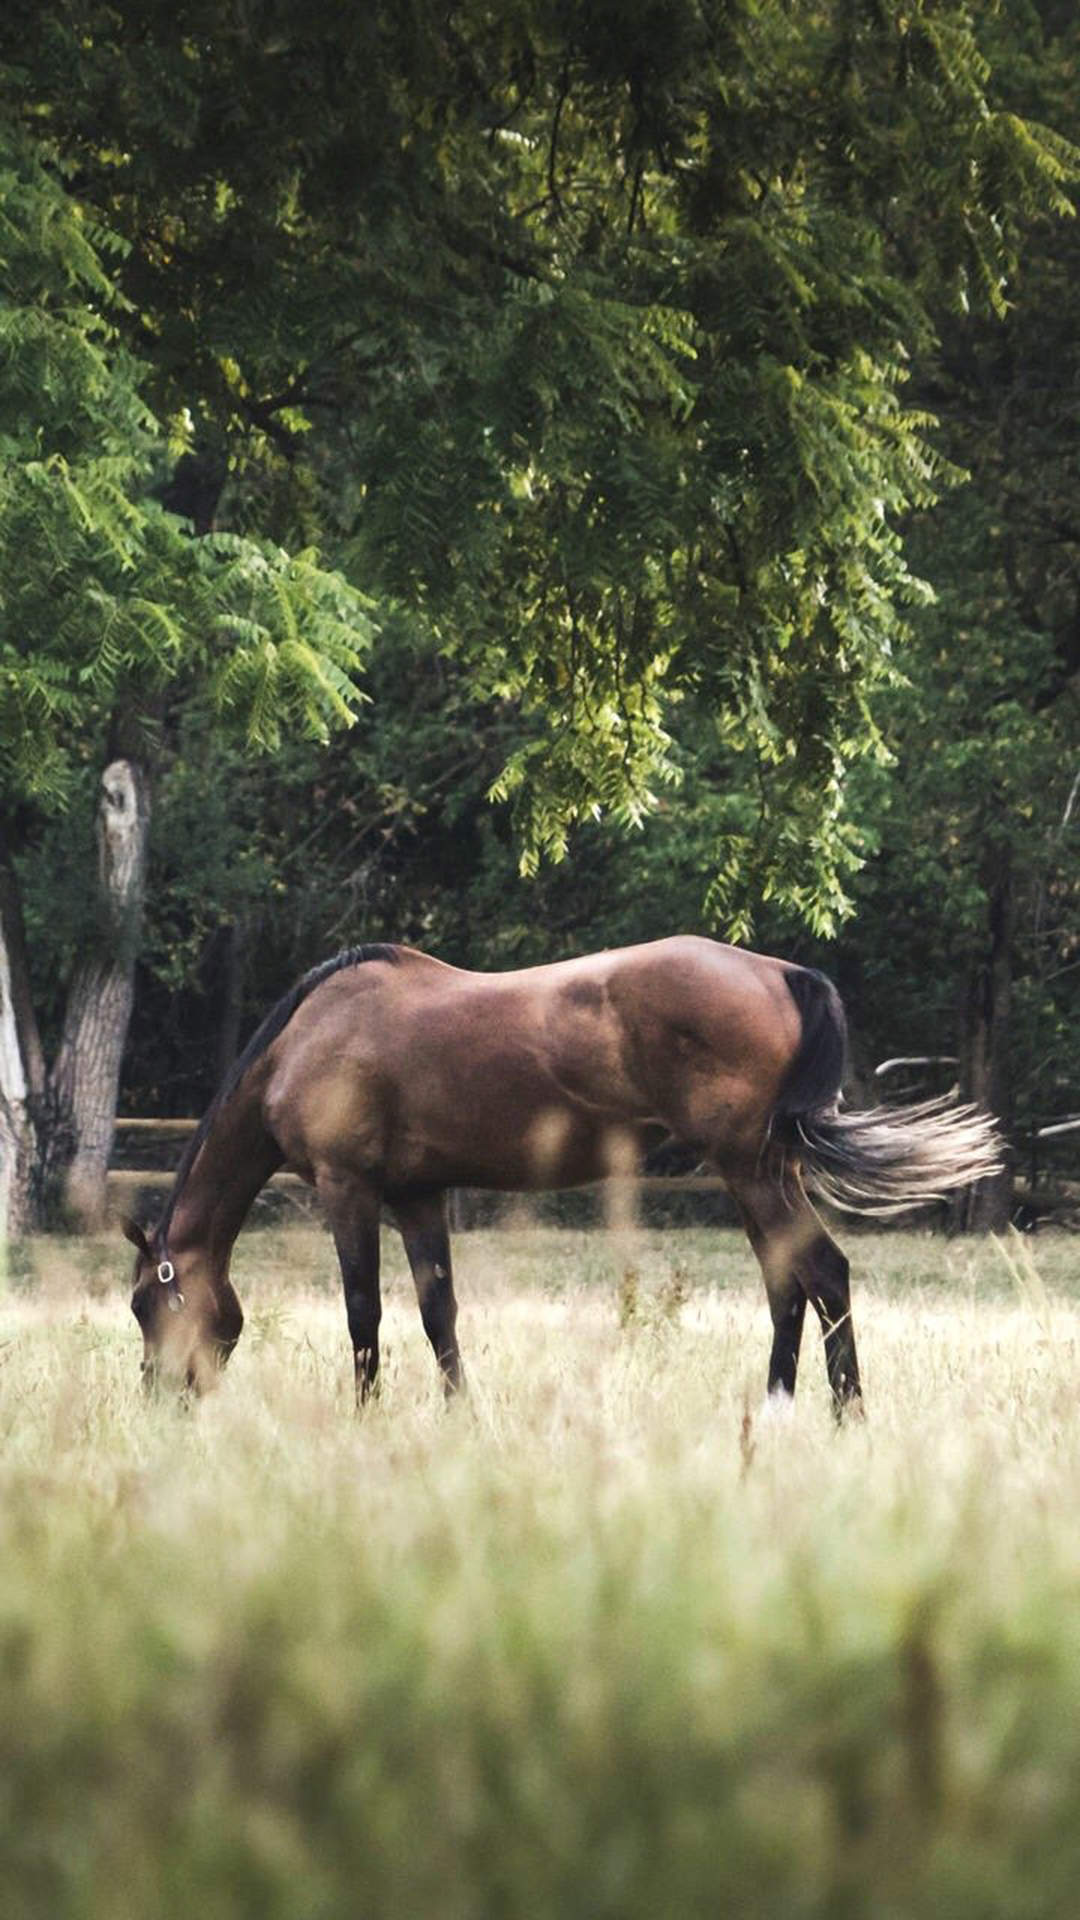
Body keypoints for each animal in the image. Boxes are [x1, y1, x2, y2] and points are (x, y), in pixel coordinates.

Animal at [124, 936, 1002, 1413]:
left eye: (141, 1304)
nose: (160, 1397)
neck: (306, 1040)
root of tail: (780, 972)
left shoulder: (349, 1190)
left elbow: (363, 1314)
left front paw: (365, 1419)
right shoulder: (417, 1196)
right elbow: (438, 1312)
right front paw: (461, 1417)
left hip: (750, 1169)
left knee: (820, 1271)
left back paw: (843, 1418)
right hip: (759, 1172)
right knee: (789, 1284)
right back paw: (778, 1408)